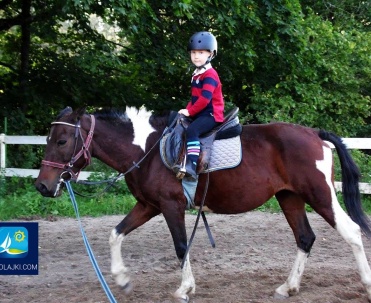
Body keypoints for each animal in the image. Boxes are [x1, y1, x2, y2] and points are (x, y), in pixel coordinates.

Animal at [34, 106, 371, 302]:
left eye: (62, 140)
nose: (42, 186)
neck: (147, 150)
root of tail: (315, 134)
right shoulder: (148, 205)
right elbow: (115, 234)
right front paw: (122, 279)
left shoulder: (170, 206)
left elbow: (181, 246)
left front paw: (185, 289)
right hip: (290, 198)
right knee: (305, 238)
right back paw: (287, 288)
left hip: (320, 195)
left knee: (352, 232)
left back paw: (366, 284)